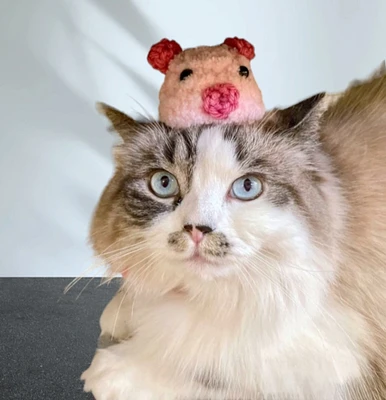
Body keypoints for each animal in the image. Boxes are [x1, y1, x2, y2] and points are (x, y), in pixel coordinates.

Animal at [80, 68, 386, 396]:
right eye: (164, 183)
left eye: (247, 187)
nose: (197, 230)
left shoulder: (339, 361)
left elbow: (207, 364)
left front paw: (114, 371)